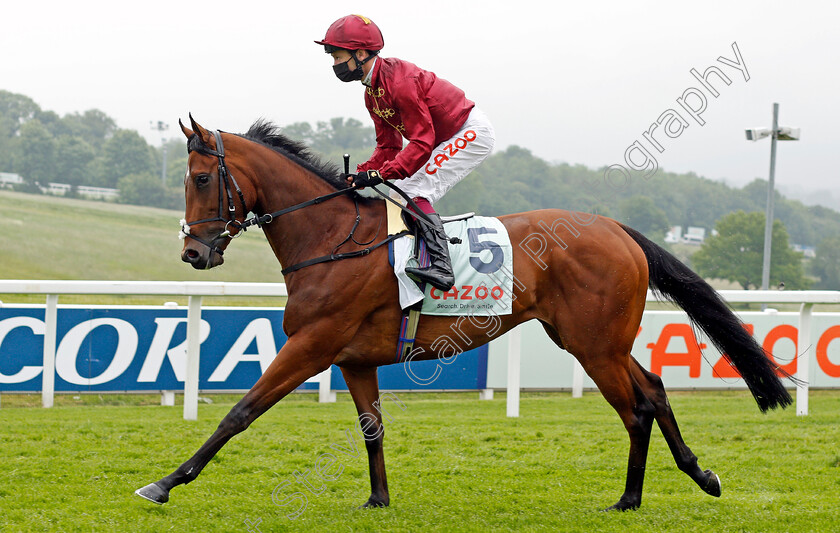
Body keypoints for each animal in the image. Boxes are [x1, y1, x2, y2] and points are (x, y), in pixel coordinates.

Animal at [135, 115, 792, 512]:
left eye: (200, 178)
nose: (194, 253)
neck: (331, 237)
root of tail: (617, 228)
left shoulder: (311, 347)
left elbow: (238, 413)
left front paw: (164, 482)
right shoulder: (354, 360)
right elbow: (372, 429)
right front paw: (378, 500)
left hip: (594, 345)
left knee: (636, 408)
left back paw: (637, 495)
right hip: (590, 339)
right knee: (652, 389)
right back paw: (686, 480)